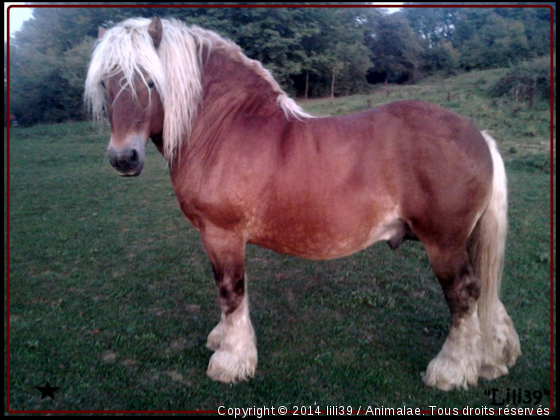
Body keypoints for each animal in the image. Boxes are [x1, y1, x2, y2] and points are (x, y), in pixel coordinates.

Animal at [84, 16, 520, 390]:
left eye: (151, 81)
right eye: (106, 83)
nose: (124, 158)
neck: (224, 127)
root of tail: (479, 137)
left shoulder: (222, 235)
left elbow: (230, 291)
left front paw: (231, 361)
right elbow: (229, 294)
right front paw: (222, 340)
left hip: (443, 244)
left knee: (464, 296)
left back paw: (450, 370)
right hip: (463, 242)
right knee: (484, 294)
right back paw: (492, 359)